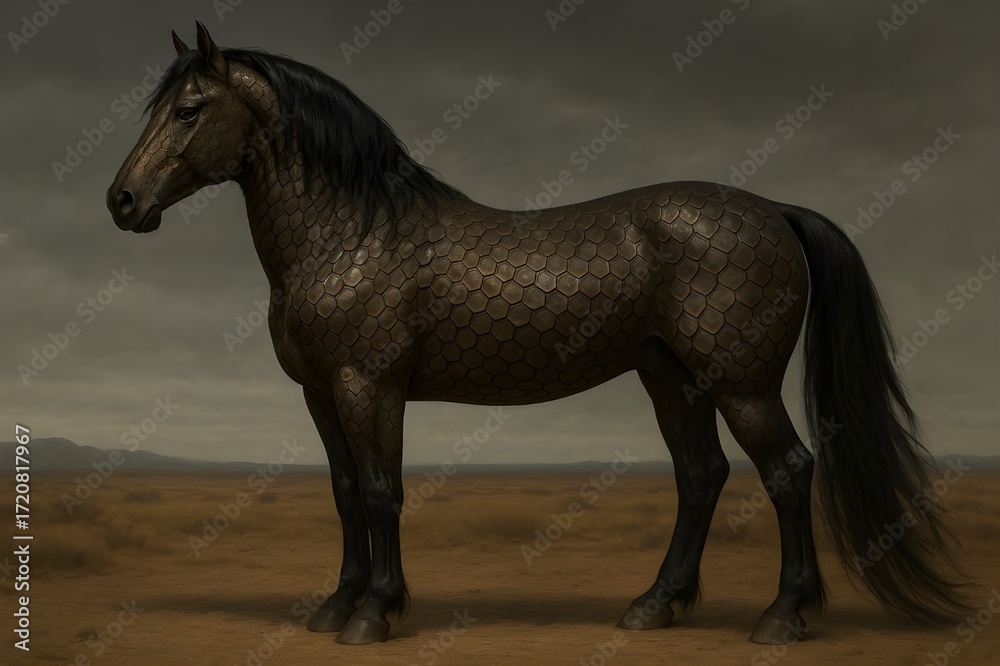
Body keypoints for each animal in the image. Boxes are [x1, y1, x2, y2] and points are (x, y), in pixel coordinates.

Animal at [107, 22, 968, 645]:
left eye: (189, 110)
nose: (122, 201)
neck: (353, 232)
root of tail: (777, 212)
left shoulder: (369, 386)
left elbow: (383, 492)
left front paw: (373, 613)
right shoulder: (323, 395)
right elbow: (347, 494)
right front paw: (335, 606)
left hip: (740, 384)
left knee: (788, 472)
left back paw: (782, 617)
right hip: (671, 378)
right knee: (702, 477)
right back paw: (654, 606)